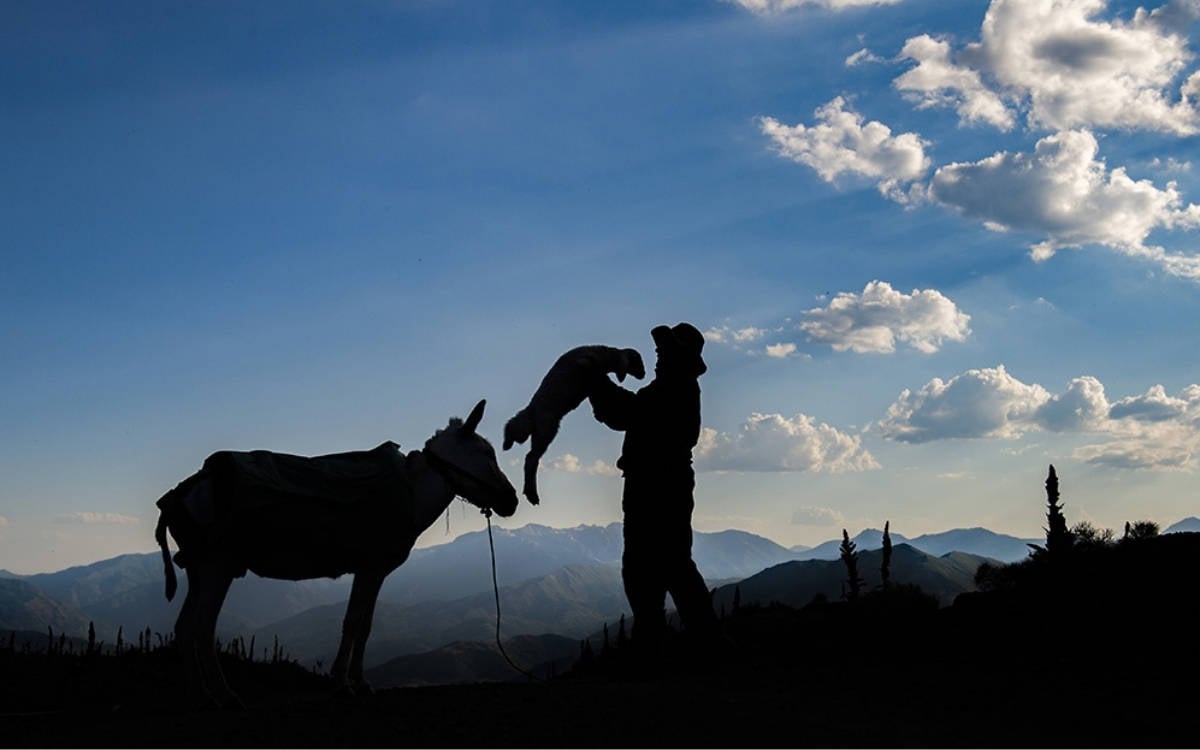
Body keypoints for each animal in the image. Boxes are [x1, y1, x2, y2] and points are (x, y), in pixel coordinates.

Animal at [501, 345, 648, 504]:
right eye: (637, 361)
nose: (644, 374)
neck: (603, 356)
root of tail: (532, 410)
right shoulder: (583, 362)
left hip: (535, 428)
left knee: (526, 447)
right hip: (544, 429)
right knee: (527, 451)